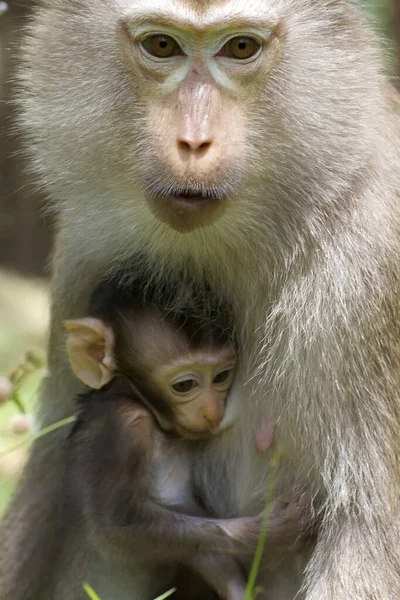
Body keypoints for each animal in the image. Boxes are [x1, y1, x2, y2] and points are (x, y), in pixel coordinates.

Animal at [54, 282, 316, 600]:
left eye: (222, 376)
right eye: (185, 385)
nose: (212, 412)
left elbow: (191, 533)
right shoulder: (121, 425)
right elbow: (117, 525)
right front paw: (271, 530)